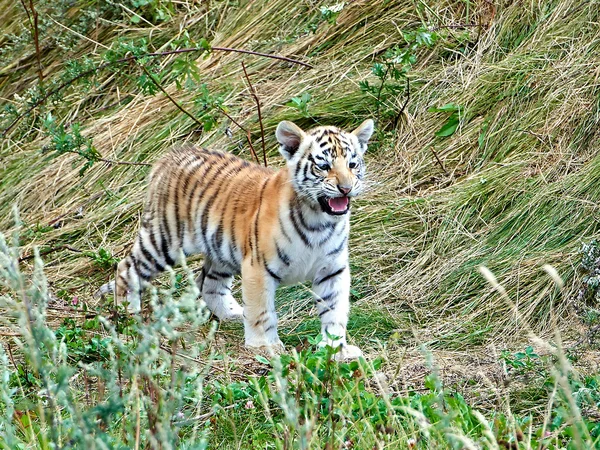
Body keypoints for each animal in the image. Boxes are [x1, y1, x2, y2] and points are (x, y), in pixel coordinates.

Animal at [96, 118, 372, 360]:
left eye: (352, 165)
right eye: (323, 166)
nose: (346, 188)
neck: (319, 221)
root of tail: (168, 156)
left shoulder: (332, 269)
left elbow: (334, 311)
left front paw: (337, 349)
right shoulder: (258, 267)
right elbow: (262, 311)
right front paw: (264, 347)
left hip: (220, 249)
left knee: (210, 284)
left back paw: (235, 314)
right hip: (164, 240)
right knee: (127, 268)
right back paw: (128, 314)